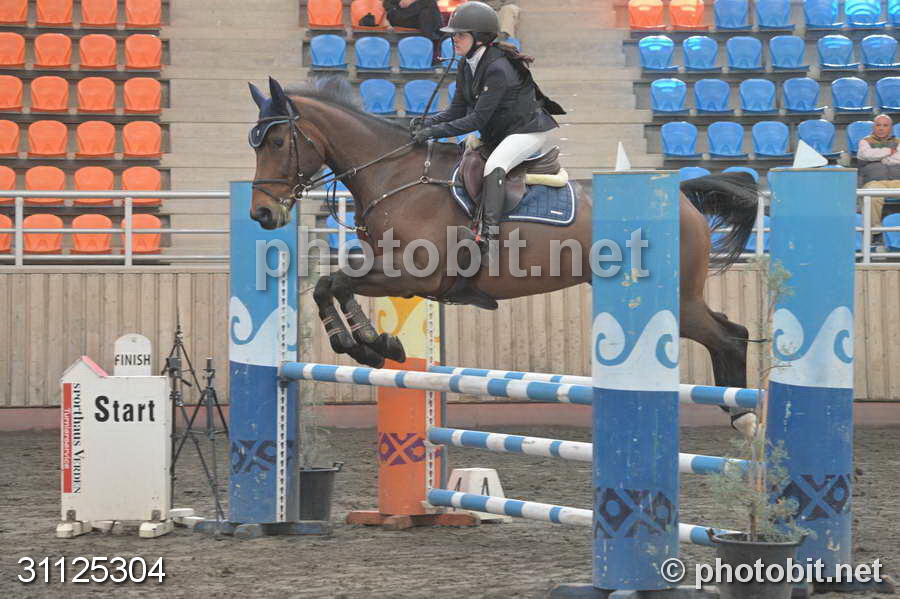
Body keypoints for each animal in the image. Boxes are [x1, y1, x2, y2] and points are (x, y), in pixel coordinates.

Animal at [247, 76, 760, 432]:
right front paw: (369, 344)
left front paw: (368, 344)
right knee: (729, 332)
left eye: (277, 142)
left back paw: (744, 416)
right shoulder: (389, 269)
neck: (395, 176)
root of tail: (682, 195)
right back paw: (736, 411)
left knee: (730, 335)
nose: (262, 214)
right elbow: (330, 283)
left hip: (677, 298)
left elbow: (335, 282)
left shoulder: (415, 275)